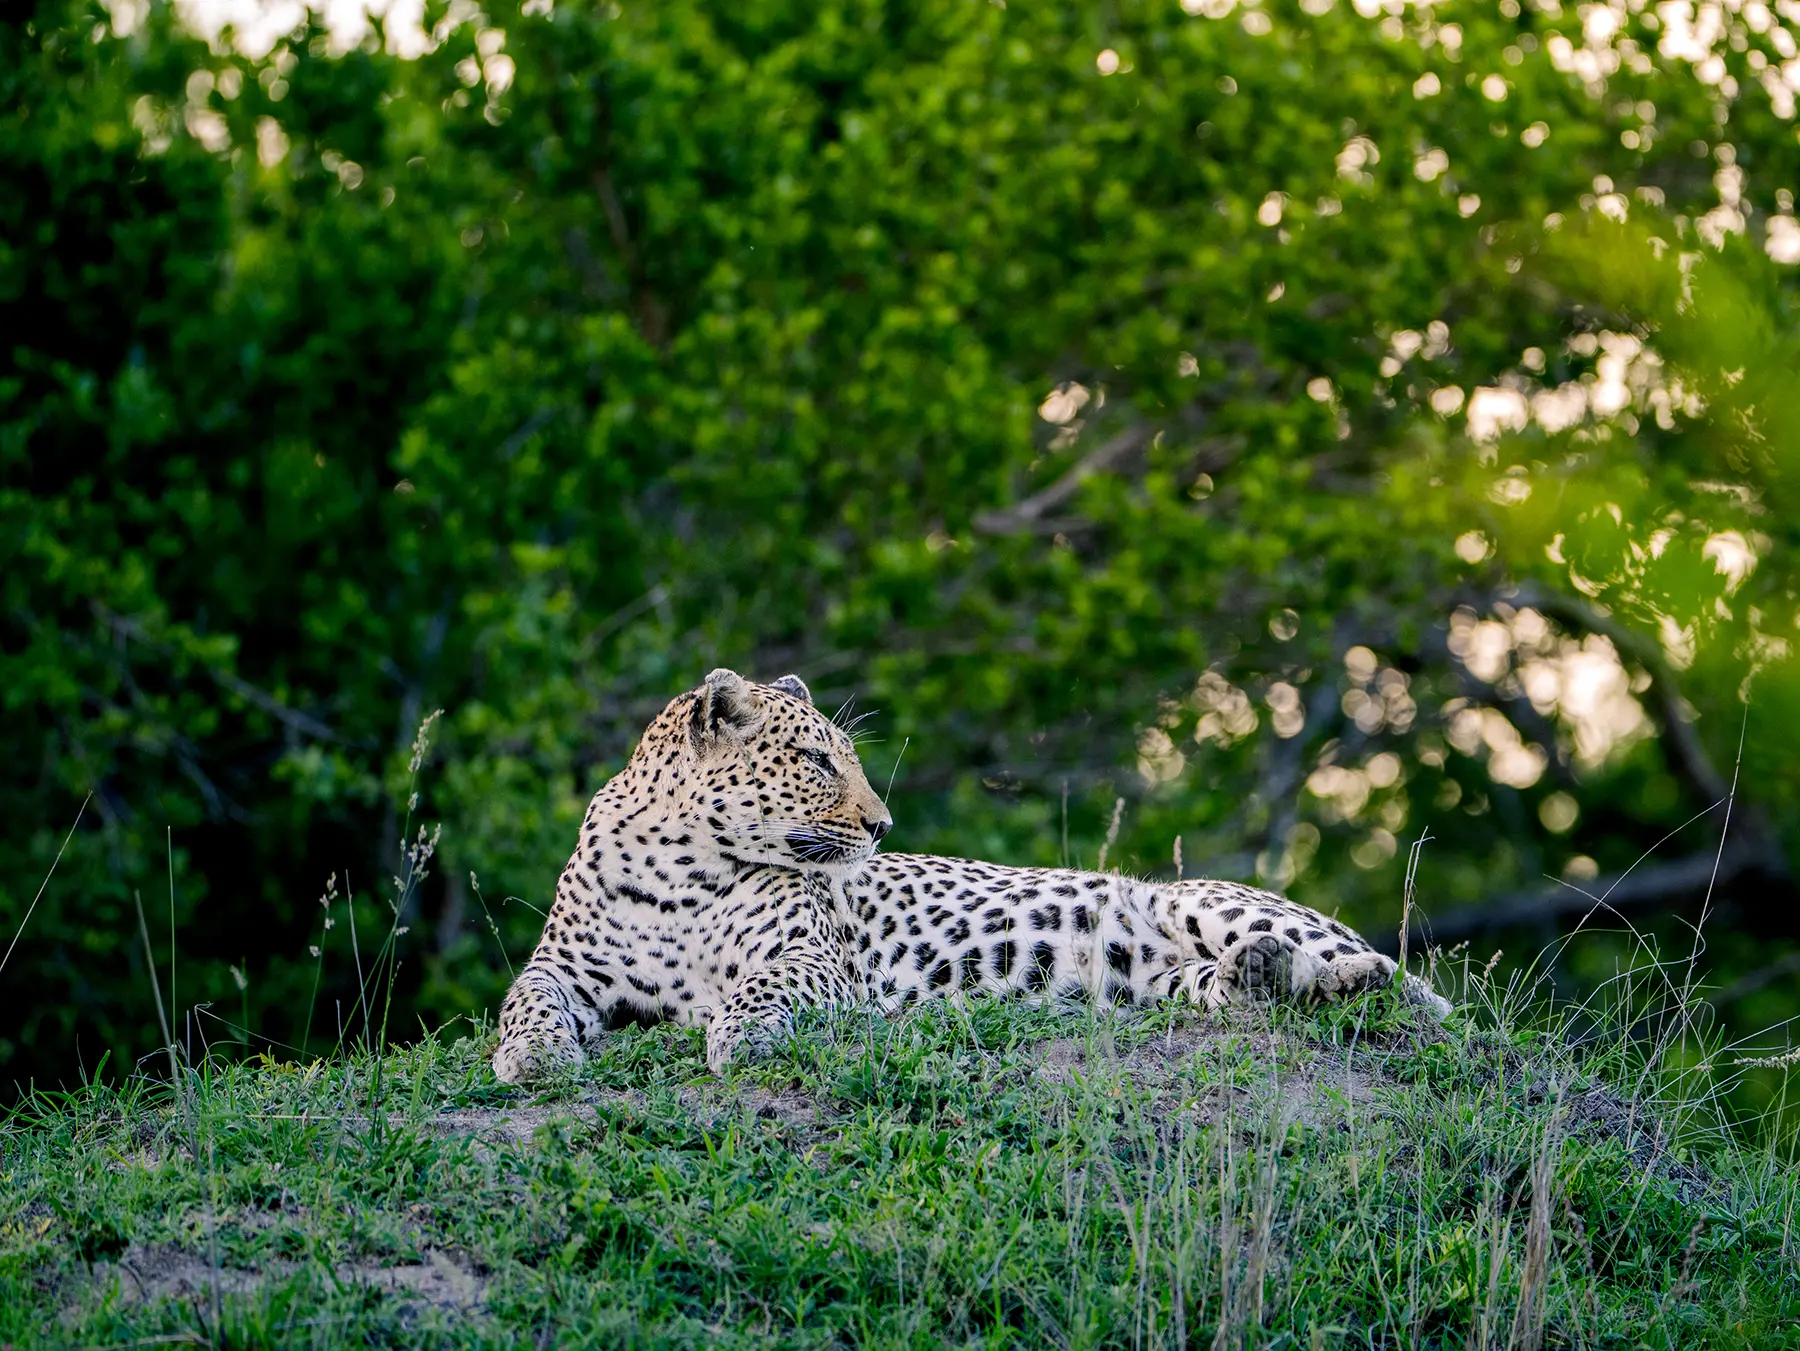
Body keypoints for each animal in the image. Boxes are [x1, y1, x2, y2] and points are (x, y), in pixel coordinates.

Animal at [492, 668, 1451, 1082]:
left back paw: (1350, 975)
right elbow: (525, 1000)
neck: (679, 869)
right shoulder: (562, 966)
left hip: (1202, 899)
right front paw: (533, 1055)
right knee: (1240, 989)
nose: (882, 825)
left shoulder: (815, 960)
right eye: (815, 760)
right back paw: (1264, 975)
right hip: (1162, 986)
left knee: (1410, 989)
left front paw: (742, 1035)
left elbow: (761, 988)